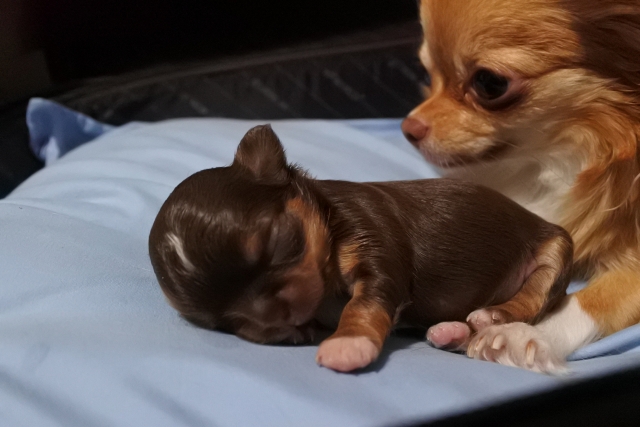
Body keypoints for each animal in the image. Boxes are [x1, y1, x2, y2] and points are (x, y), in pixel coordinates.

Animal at [151, 125, 576, 372]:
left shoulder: (375, 249)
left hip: (555, 248)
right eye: (223, 321)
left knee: (532, 297)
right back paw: (452, 331)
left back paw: (493, 315)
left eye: (278, 241)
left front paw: (347, 344)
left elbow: (361, 306)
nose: (277, 319)